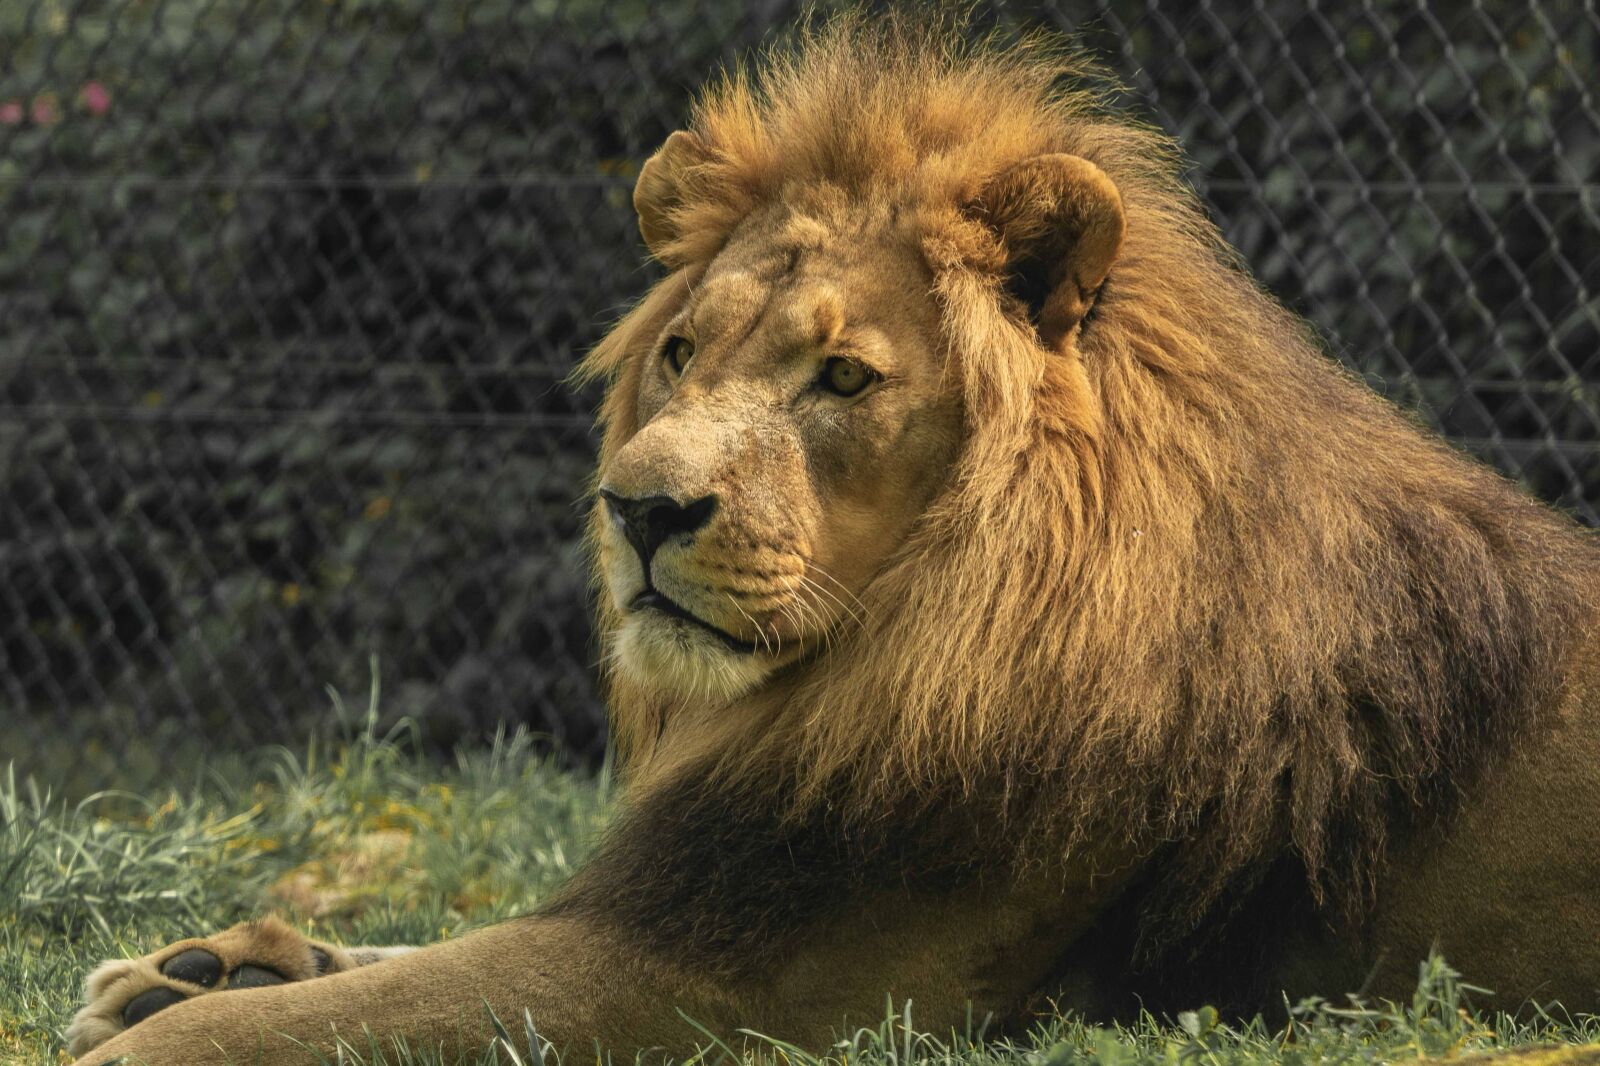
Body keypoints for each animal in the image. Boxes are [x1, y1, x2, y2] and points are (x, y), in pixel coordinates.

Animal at [67, 11, 1600, 1065]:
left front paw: (183, 1015)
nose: (638, 509)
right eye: (681, 354)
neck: (868, 662)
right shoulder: (687, 901)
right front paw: (195, 963)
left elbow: (358, 1013)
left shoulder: (750, 986)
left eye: (845, 379)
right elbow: (398, 947)